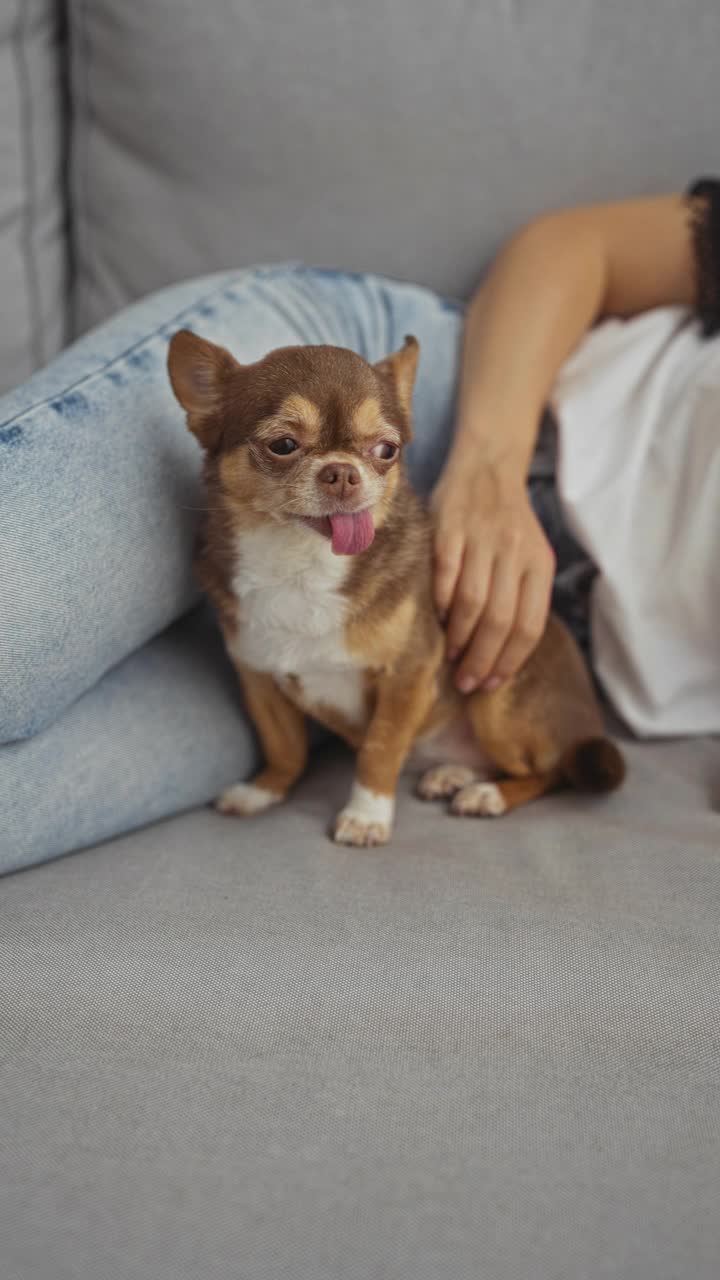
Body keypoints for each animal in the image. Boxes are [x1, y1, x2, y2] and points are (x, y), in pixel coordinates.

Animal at [166, 335, 622, 844]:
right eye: (283, 445)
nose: (343, 471)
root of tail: (589, 719)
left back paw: (488, 795)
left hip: (496, 697)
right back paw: (453, 774)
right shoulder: (258, 677)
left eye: (386, 450)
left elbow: (379, 749)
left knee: (552, 771)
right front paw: (262, 791)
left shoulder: (409, 672)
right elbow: (285, 747)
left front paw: (366, 815)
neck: (302, 567)